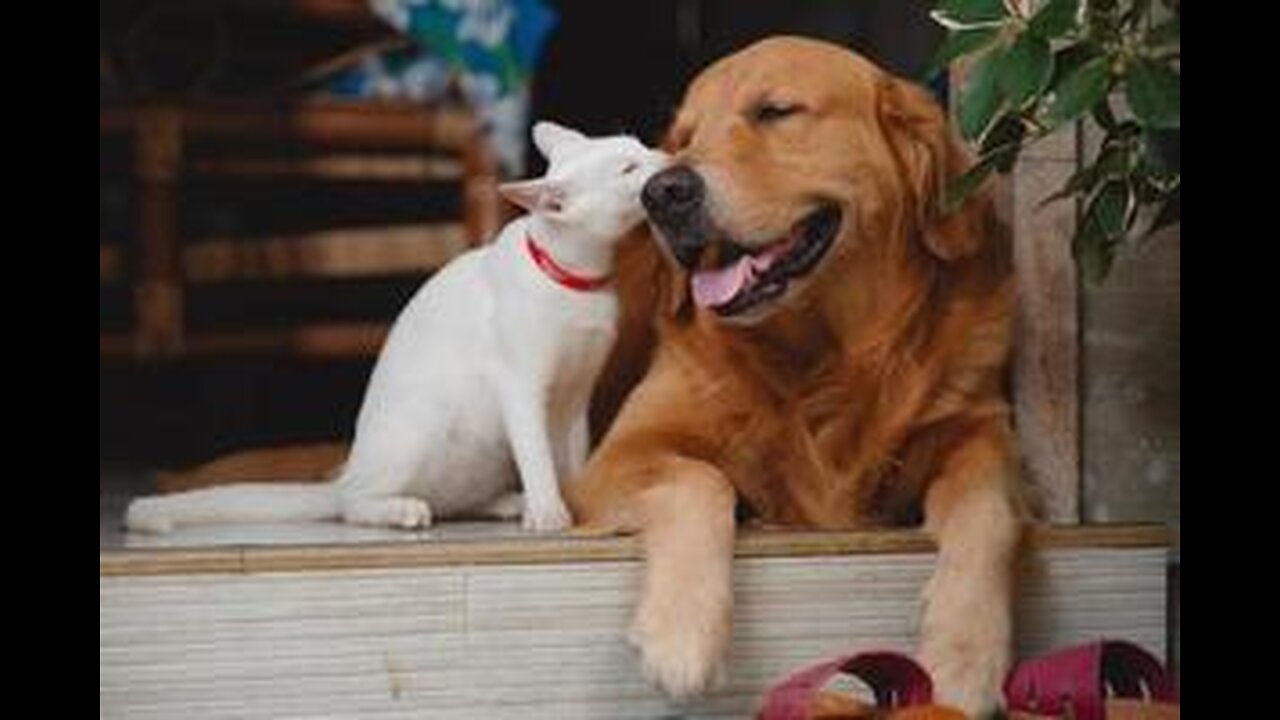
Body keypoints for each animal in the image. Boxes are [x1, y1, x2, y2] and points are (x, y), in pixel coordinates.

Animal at [126, 119, 670, 532]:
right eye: (628, 168)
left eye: (641, 147)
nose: (666, 160)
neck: (578, 280)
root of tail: (346, 473)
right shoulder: (521, 386)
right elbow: (537, 455)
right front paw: (548, 511)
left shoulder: (575, 398)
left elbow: (573, 457)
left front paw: (576, 500)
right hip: (421, 422)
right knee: (353, 506)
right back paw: (402, 510)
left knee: (451, 500)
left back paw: (499, 503)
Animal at [565, 35, 1024, 712]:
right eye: (685, 137)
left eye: (775, 111)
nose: (663, 193)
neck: (823, 357)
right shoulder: (617, 456)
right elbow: (700, 478)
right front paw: (682, 634)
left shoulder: (980, 429)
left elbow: (989, 512)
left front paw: (967, 655)